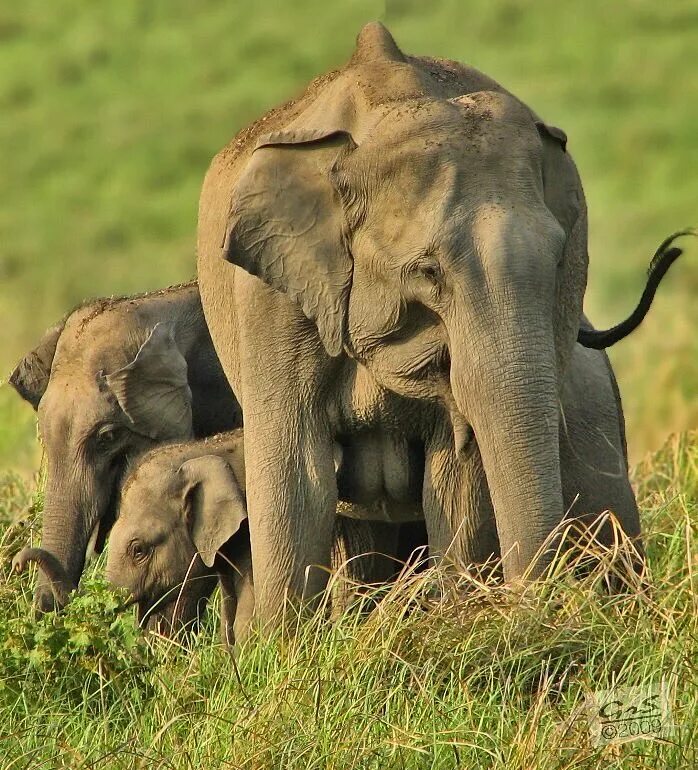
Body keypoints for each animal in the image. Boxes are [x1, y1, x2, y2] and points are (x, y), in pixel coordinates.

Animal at [193, 22, 660, 624]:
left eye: (560, 262)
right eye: (427, 271)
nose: (531, 606)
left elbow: (456, 478)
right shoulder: (271, 298)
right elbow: (299, 475)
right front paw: (281, 645)